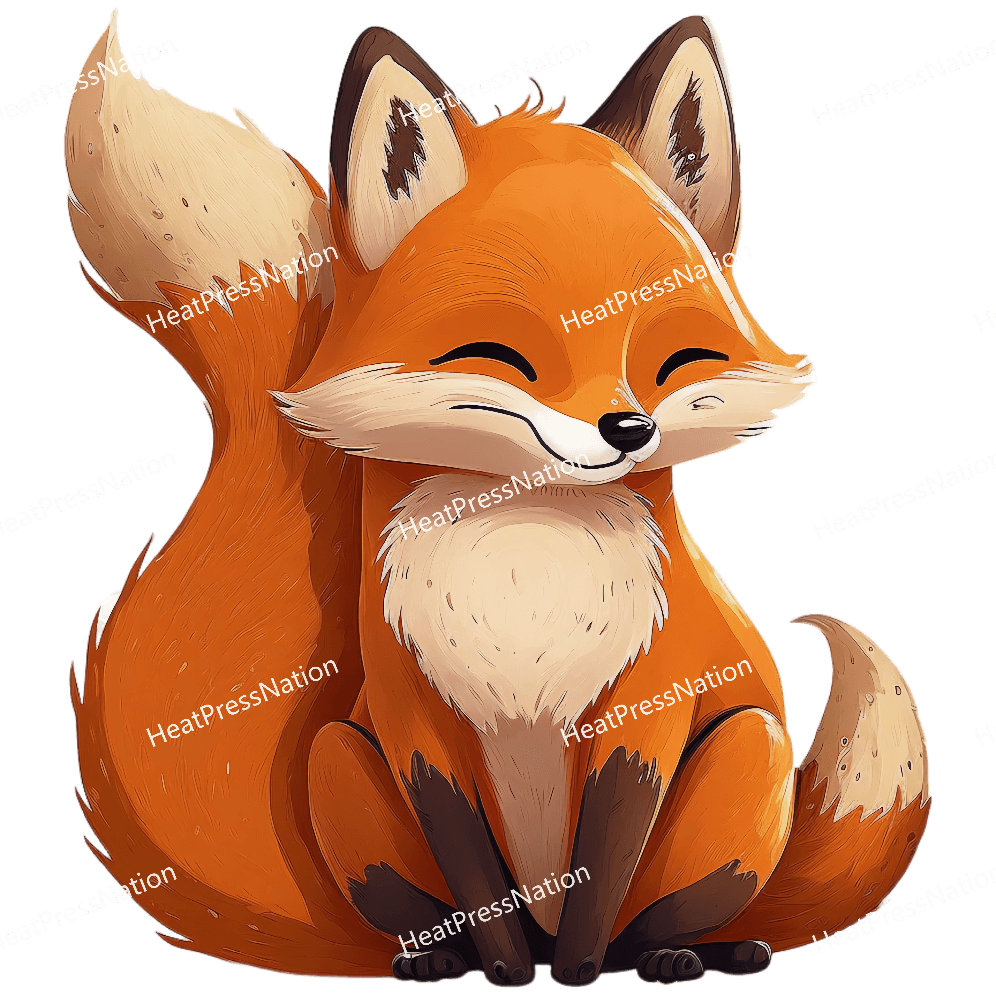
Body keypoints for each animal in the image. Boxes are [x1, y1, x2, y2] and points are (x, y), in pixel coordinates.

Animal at [65, 10, 930, 986]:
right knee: (419, 912)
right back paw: (440, 960)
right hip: (334, 758)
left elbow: (605, 864)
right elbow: (475, 874)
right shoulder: (413, 722)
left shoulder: (651, 708)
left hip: (750, 748)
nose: (628, 429)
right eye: (502, 357)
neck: (525, 567)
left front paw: (578, 973)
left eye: (674, 361)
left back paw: (677, 954)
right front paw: (513, 973)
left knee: (661, 914)